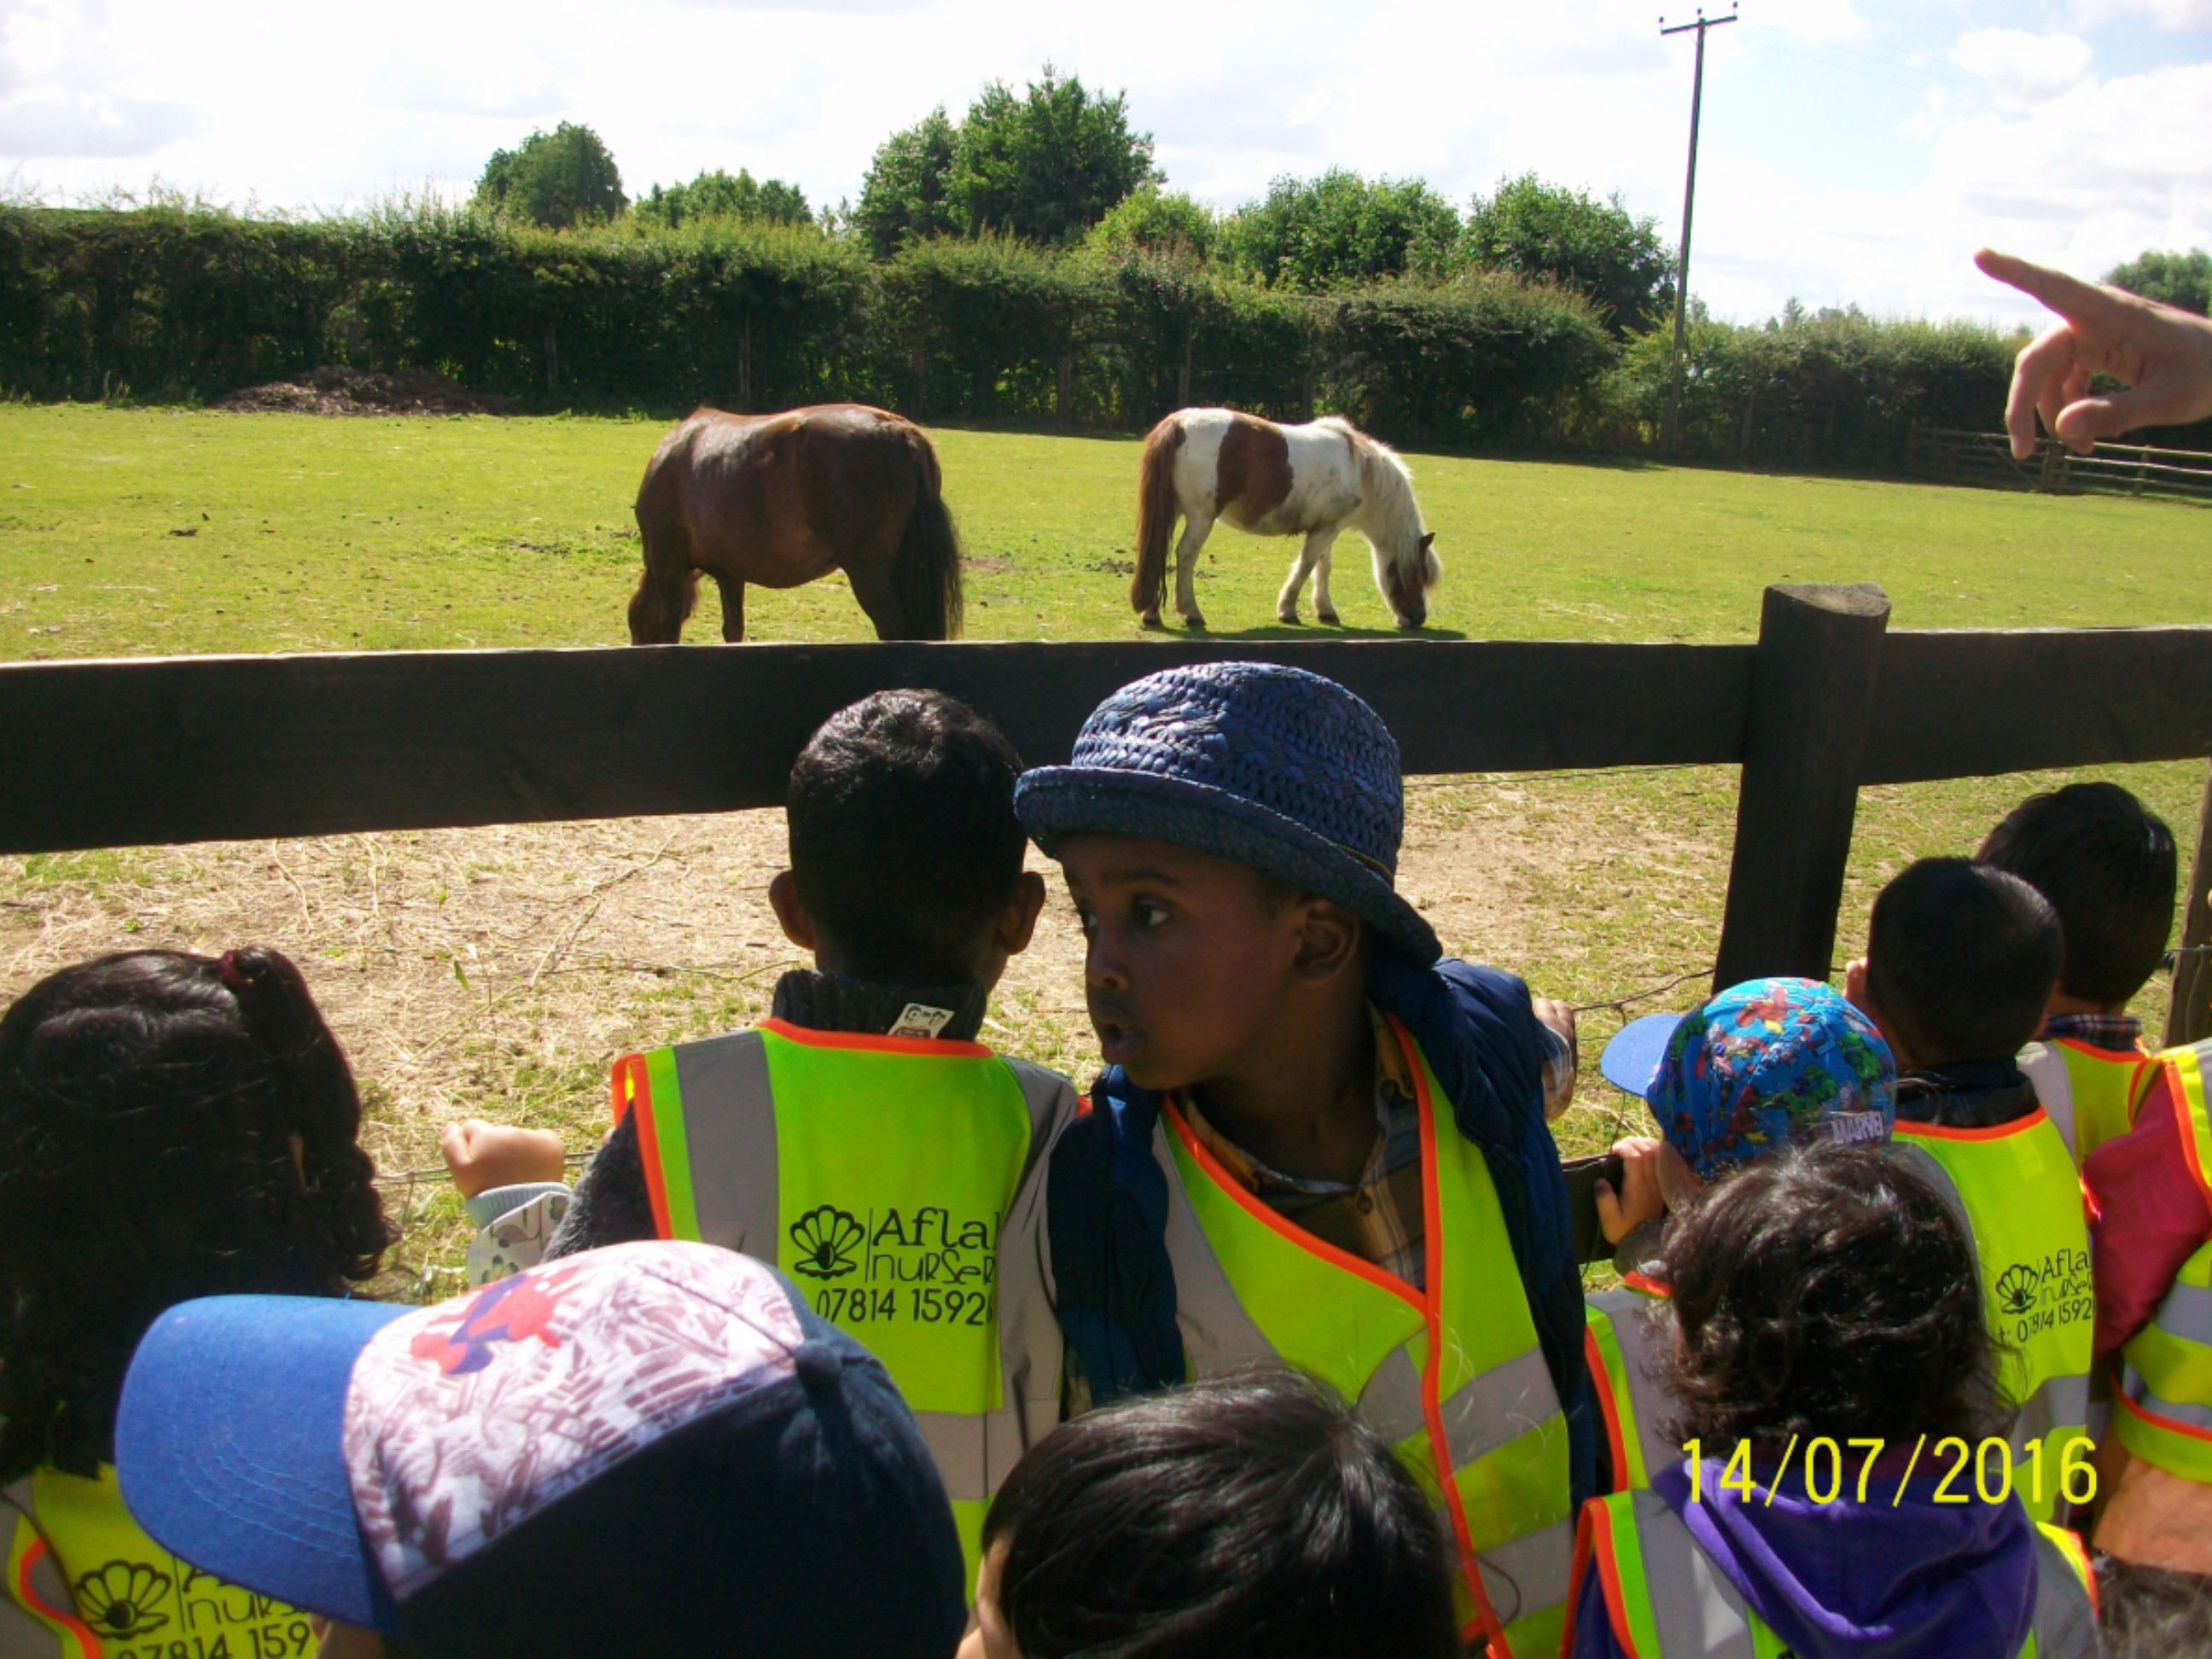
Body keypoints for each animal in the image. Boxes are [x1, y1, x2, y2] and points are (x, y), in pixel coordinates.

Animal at [628, 406, 964, 645]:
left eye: (638, 630)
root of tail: (902, 432)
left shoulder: (669, 566)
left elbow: (671, 627)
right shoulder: (730, 575)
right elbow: (733, 629)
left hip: (869, 571)